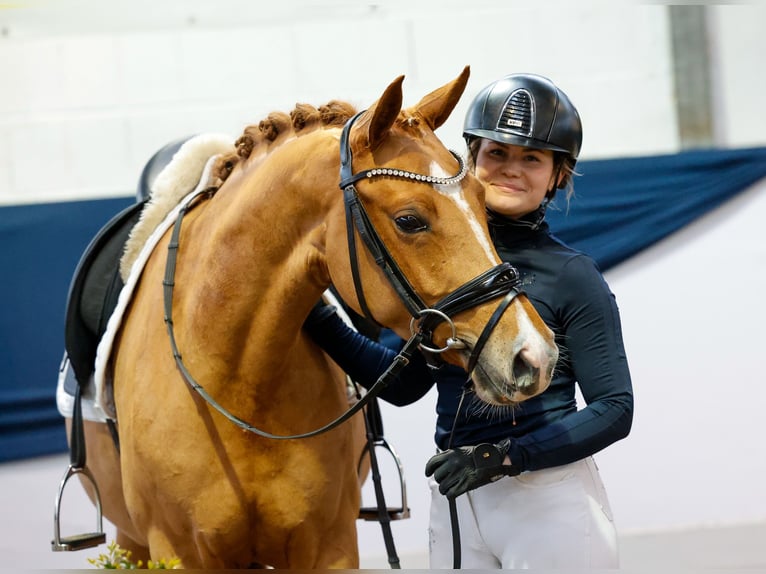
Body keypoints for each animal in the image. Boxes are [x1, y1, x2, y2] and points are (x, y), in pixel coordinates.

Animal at [76, 68, 560, 572]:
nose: (534, 354)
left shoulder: (330, 547)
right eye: (409, 220)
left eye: (482, 200)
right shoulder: (177, 552)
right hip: (133, 543)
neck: (237, 385)